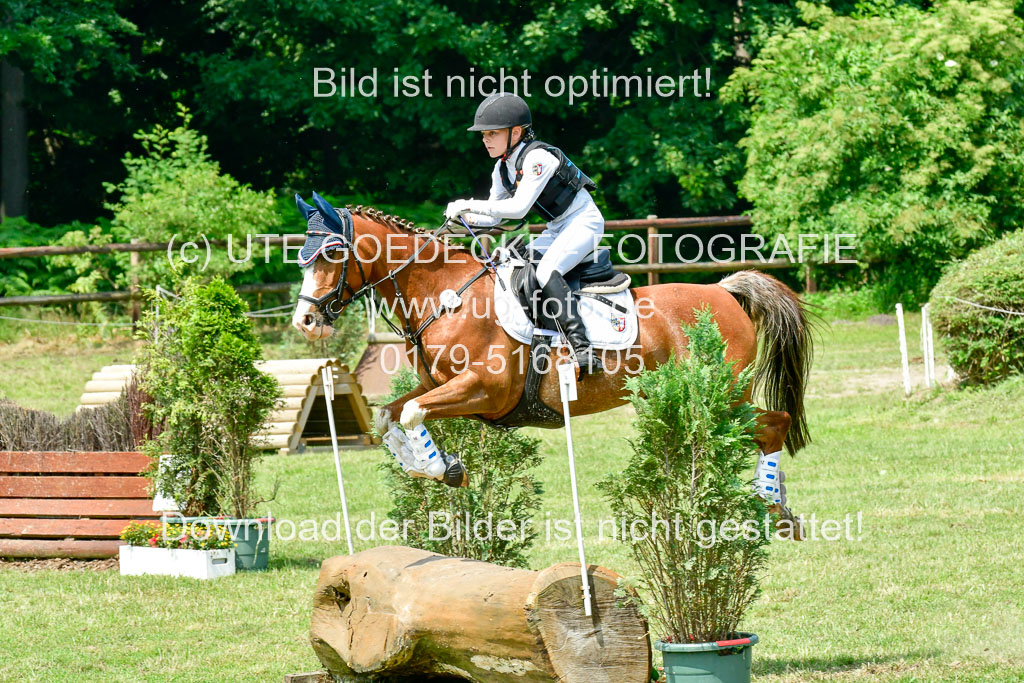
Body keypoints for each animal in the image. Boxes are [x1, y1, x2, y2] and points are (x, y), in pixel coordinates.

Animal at [290, 194, 813, 535]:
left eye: (332, 253)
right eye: (301, 258)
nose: (305, 321)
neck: (445, 293)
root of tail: (724, 292)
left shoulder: (485, 389)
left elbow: (412, 413)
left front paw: (444, 469)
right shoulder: (441, 386)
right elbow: (388, 415)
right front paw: (430, 466)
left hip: (722, 394)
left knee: (775, 423)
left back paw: (772, 506)